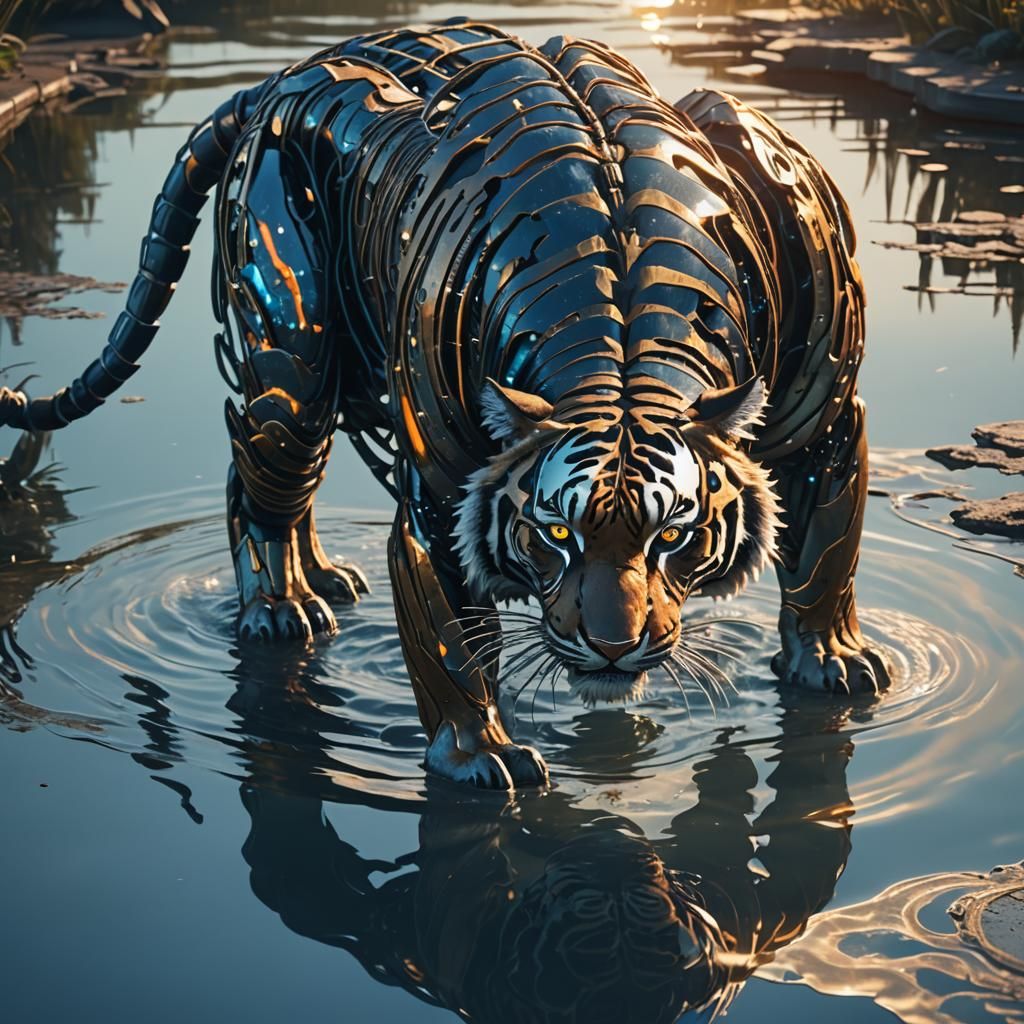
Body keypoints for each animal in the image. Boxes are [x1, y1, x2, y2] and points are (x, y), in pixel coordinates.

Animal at [0, 20, 889, 789]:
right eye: (555, 533)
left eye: (675, 534)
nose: (611, 649)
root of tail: (283, 75)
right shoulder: (444, 491)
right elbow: (453, 632)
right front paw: (477, 755)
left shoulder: (827, 420)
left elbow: (825, 549)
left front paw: (830, 660)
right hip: (293, 351)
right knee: (264, 474)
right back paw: (281, 609)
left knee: (270, 477)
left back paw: (324, 582)